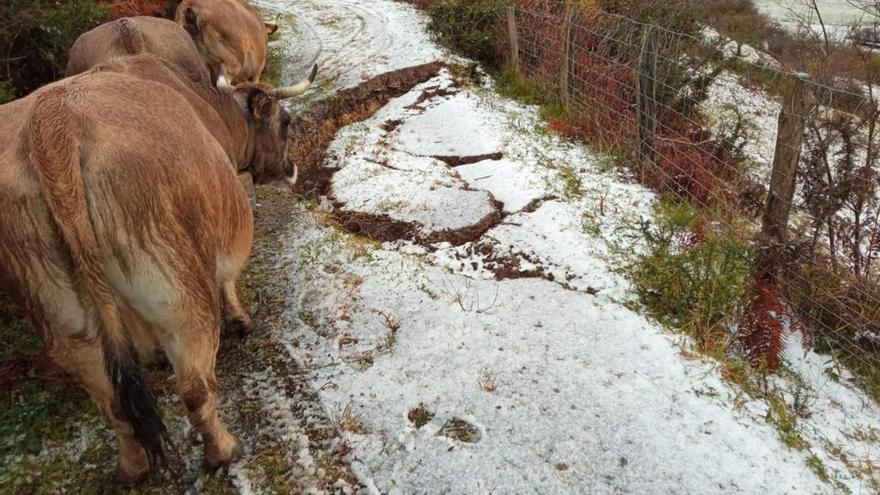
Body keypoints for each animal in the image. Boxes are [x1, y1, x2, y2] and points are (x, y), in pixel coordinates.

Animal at [0, 54, 316, 484]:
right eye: (285, 122)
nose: (293, 168)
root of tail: (52, 122)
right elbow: (227, 281)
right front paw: (239, 320)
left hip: (61, 314)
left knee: (114, 404)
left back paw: (133, 468)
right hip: (178, 286)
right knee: (195, 388)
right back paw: (223, 451)